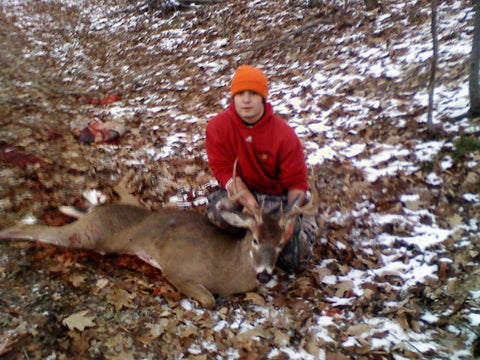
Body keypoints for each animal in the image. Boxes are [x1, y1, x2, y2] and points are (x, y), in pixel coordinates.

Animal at [0, 179, 318, 308]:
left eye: (280, 243)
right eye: (254, 239)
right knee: (31, 228)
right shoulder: (178, 272)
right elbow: (209, 300)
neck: (227, 270)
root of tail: (97, 211)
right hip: (89, 234)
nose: (264, 274)